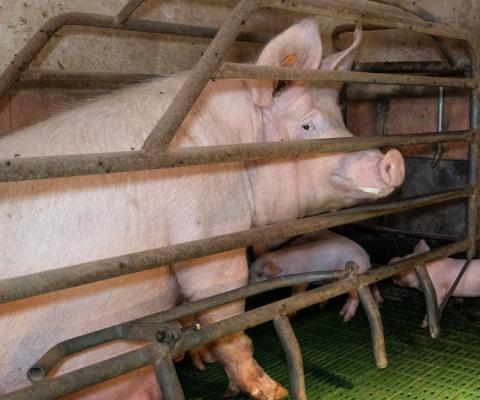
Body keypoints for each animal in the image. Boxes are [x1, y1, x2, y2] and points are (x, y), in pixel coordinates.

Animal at [0, 19, 404, 400]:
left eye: (342, 121)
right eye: (307, 125)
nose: (394, 159)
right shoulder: (210, 231)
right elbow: (225, 318)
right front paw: (272, 390)